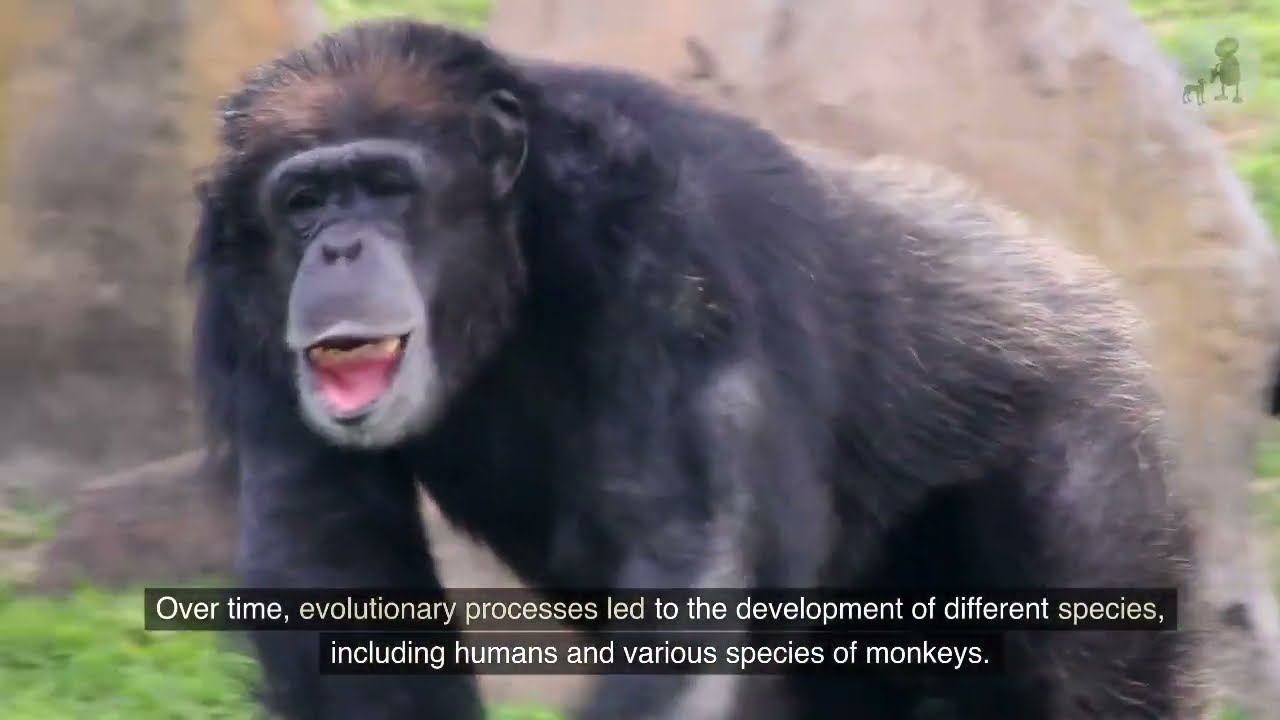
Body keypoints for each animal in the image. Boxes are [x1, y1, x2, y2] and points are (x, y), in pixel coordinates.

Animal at [189, 18, 1200, 720]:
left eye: (387, 186)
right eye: (306, 199)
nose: (339, 248)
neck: (514, 252)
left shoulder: (668, 242)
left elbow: (689, 564)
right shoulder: (238, 294)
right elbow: (330, 560)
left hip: (1092, 457)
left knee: (1080, 670)